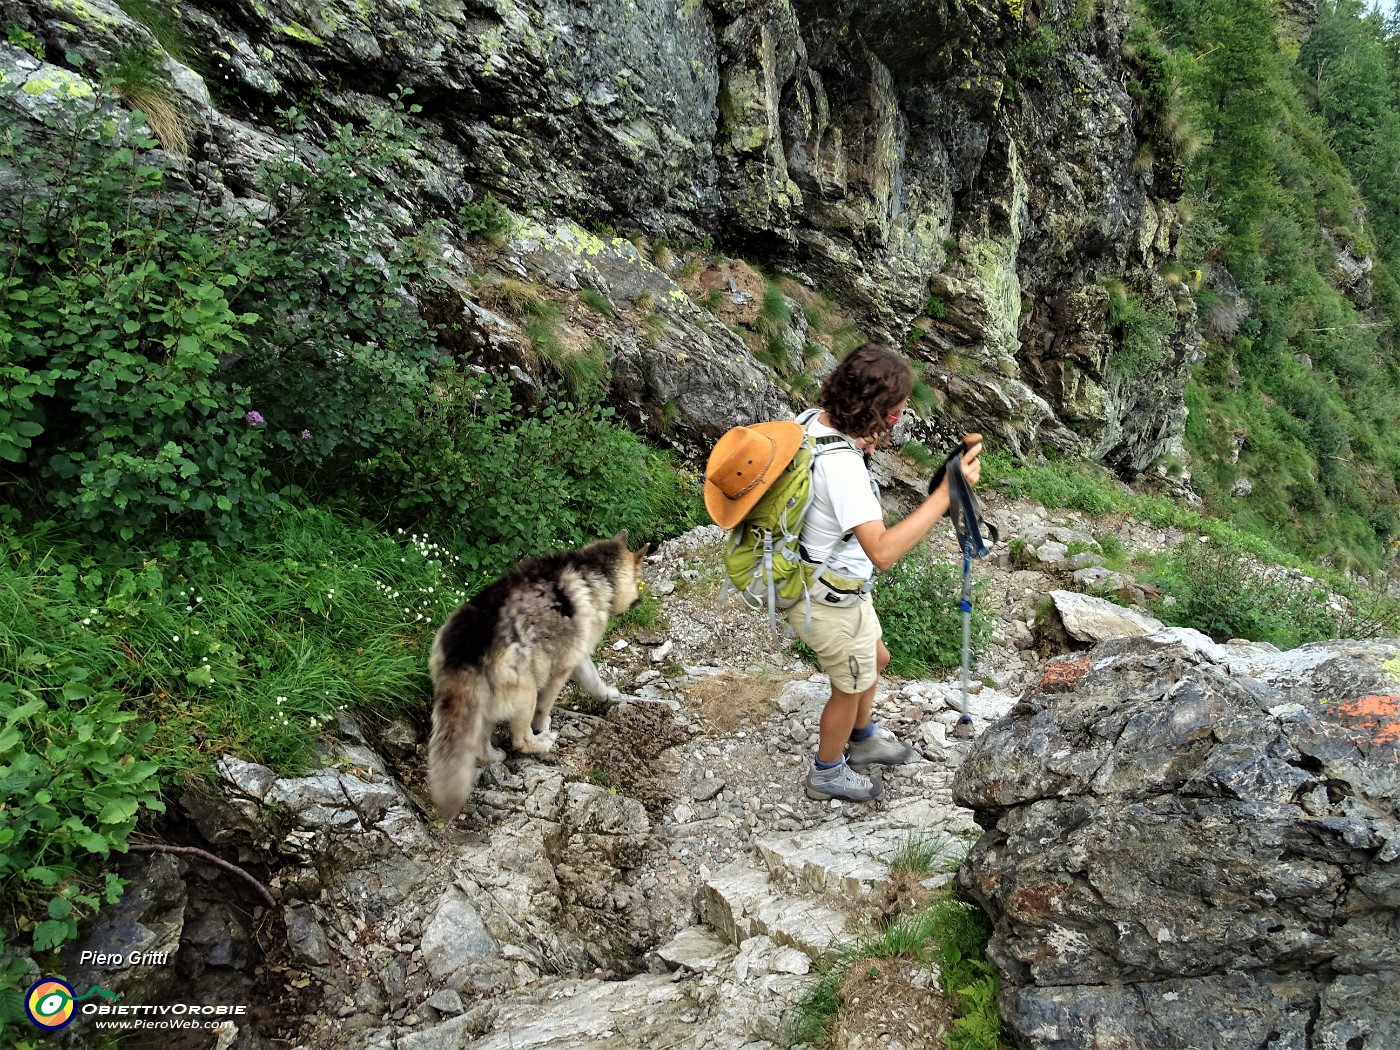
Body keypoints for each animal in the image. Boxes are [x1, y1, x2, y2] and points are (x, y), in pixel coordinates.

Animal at [428, 534, 646, 823]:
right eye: (639, 575)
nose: (641, 599)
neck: (593, 570)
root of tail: (465, 649)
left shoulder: (578, 655)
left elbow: (594, 681)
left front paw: (608, 695)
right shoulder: (565, 664)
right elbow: (550, 703)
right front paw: (543, 726)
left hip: (480, 706)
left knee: (480, 746)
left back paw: (494, 755)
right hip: (526, 691)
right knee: (520, 740)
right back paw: (542, 743)